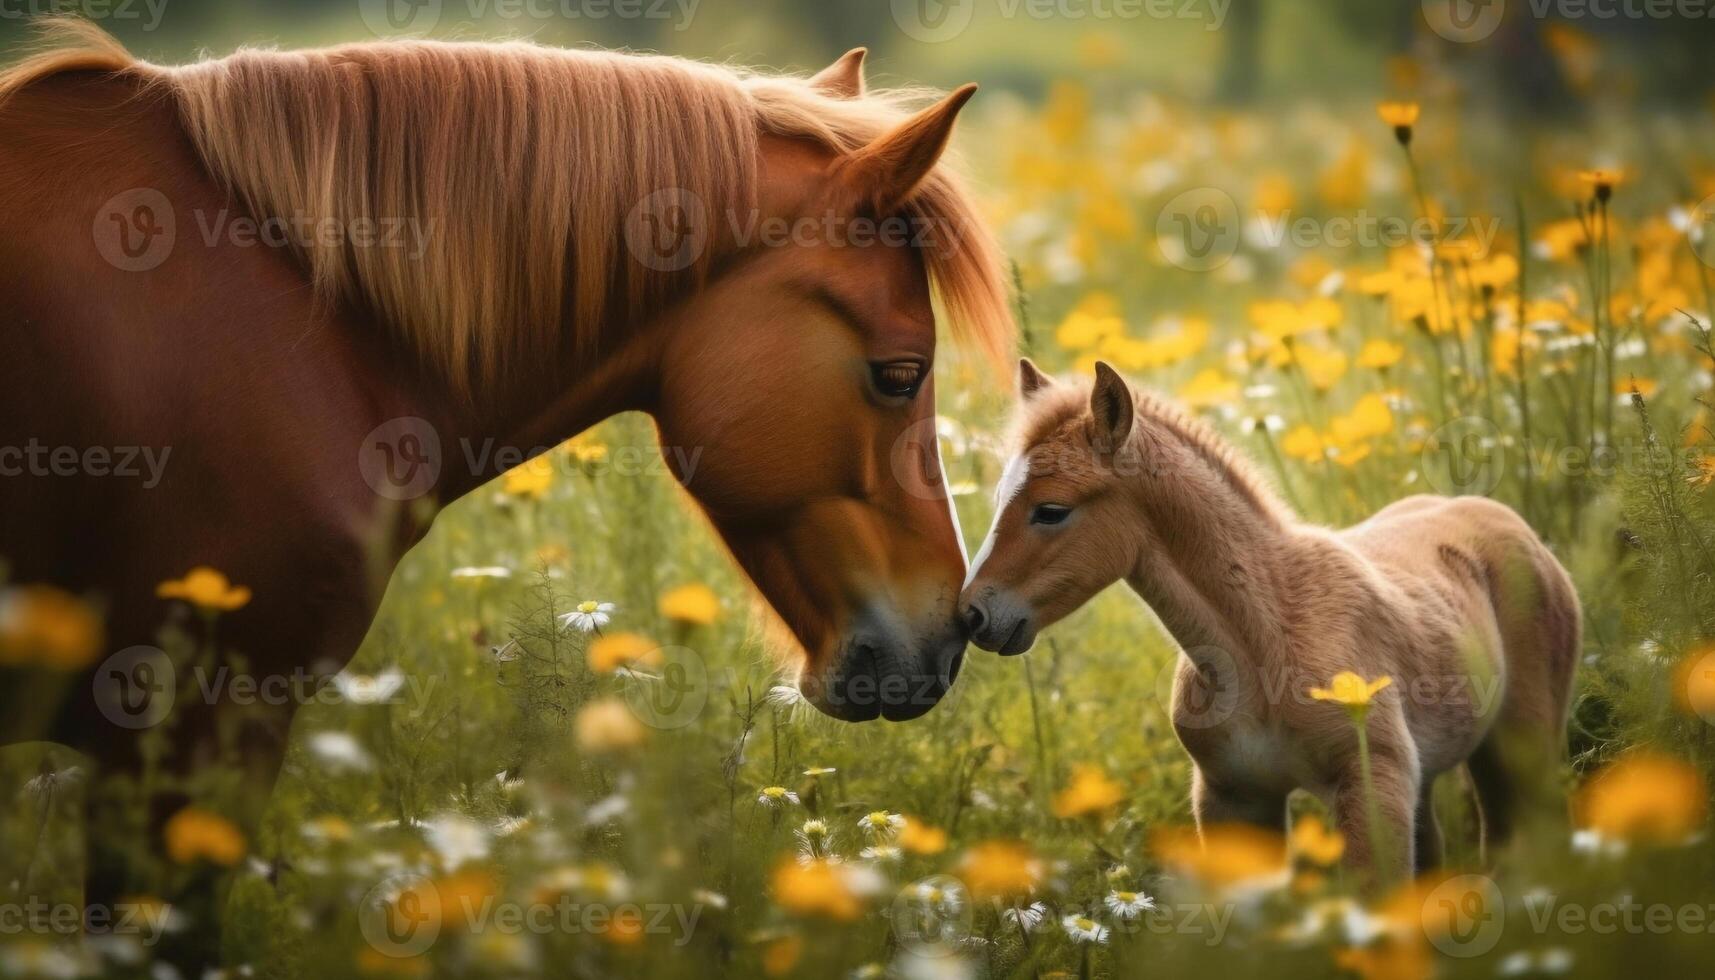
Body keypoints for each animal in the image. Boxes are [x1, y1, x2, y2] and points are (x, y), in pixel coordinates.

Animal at [960, 362, 1570, 878]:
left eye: (1051, 510)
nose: (972, 613)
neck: (1264, 636)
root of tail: (1499, 516)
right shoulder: (1235, 798)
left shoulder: (1373, 785)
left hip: (1521, 743)